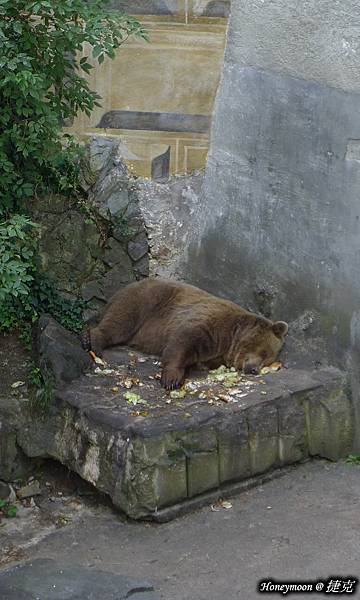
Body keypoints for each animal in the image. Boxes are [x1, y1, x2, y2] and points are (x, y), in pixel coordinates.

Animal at [83, 278, 288, 392]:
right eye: (264, 353)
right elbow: (184, 340)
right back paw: (95, 343)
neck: (231, 339)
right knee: (120, 322)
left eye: (268, 360)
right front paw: (171, 379)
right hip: (144, 301)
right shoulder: (212, 324)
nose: (254, 370)